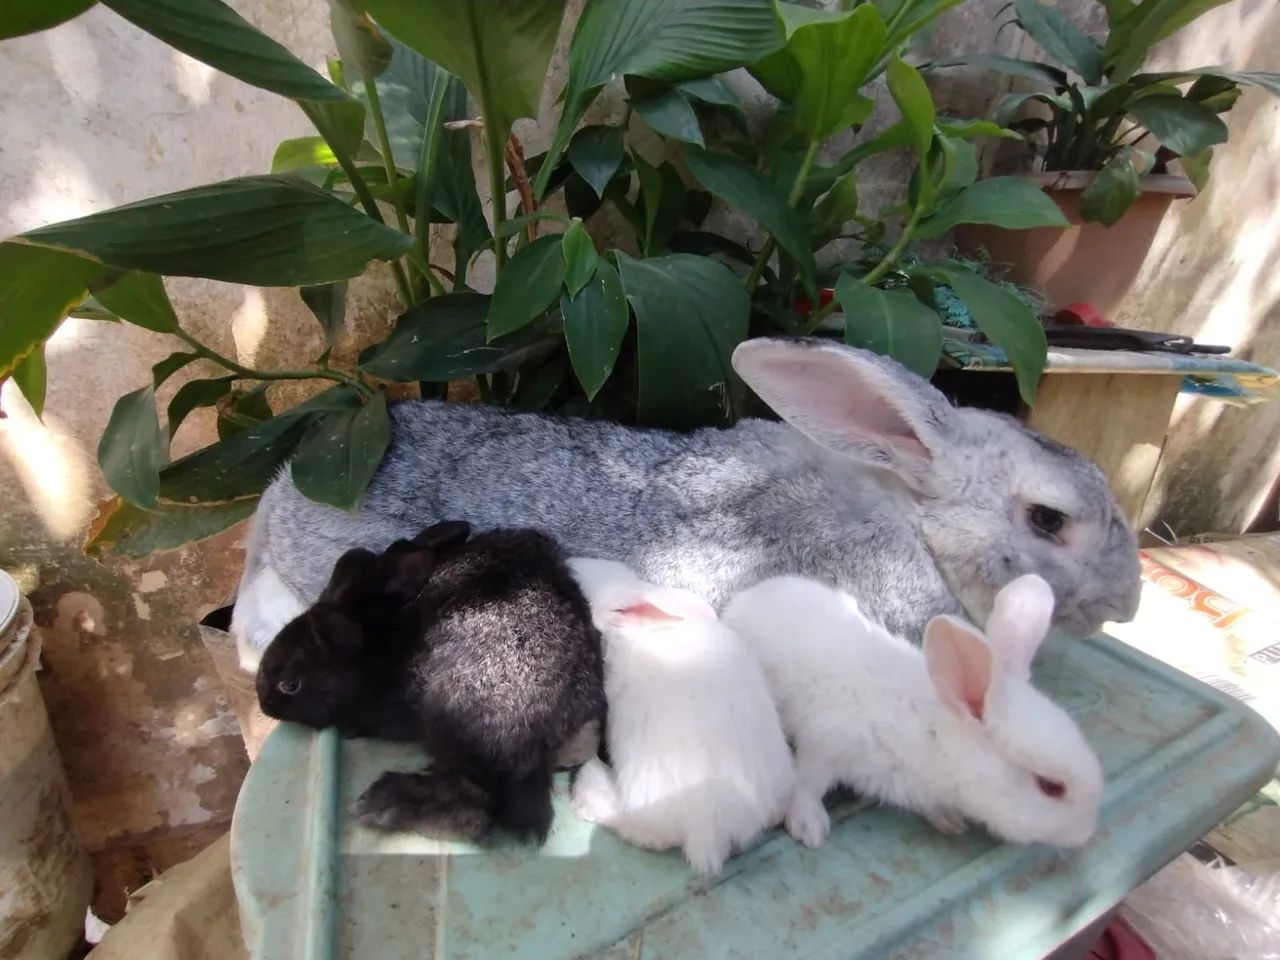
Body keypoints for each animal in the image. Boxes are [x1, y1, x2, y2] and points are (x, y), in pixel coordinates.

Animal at [255, 520, 606, 845]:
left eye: (290, 684)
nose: (263, 701)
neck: (378, 643)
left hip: (455, 713)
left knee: (475, 805)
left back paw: (384, 803)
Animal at [720, 573, 1103, 850]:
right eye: (1051, 787)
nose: (1086, 834)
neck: (933, 736)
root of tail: (750, 595)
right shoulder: (828, 742)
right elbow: (807, 783)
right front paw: (809, 827)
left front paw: (949, 820)